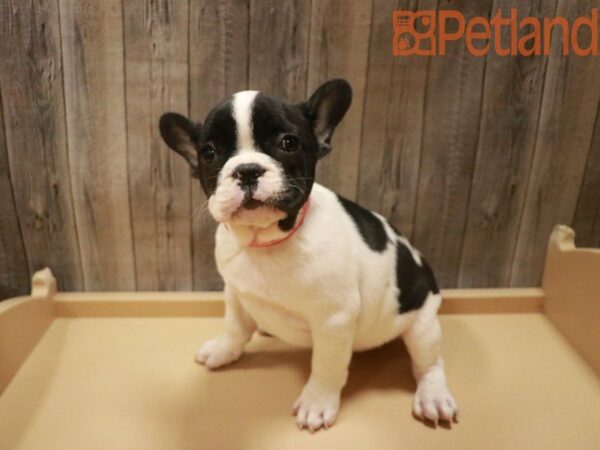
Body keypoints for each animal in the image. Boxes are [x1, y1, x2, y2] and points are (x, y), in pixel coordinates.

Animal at [159, 80, 460, 432]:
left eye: (288, 143)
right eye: (208, 152)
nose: (247, 170)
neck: (267, 242)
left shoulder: (333, 321)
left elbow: (326, 366)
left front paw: (317, 402)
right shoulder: (235, 292)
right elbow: (235, 325)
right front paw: (224, 349)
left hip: (423, 324)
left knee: (429, 362)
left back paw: (433, 395)